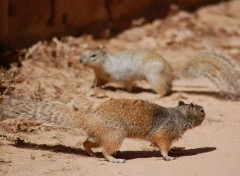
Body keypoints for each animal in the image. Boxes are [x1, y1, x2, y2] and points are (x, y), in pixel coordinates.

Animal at [0, 96, 205, 164]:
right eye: (202, 110)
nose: (206, 112)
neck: (180, 115)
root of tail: (91, 118)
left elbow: (156, 144)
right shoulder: (165, 134)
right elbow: (163, 146)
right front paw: (168, 156)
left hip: (101, 136)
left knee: (86, 142)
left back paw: (91, 154)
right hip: (116, 134)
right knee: (105, 151)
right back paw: (115, 159)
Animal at [79, 47, 239, 99]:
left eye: (93, 55)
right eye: (84, 52)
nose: (80, 59)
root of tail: (172, 73)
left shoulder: (124, 75)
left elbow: (129, 84)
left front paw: (128, 92)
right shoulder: (99, 77)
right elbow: (98, 83)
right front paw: (92, 88)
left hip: (154, 77)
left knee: (164, 90)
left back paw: (156, 96)